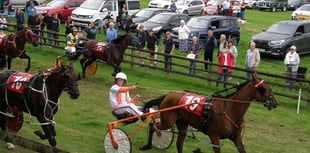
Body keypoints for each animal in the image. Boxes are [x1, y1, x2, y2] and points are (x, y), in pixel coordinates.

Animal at [140, 73, 278, 153]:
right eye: (264, 88)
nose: (275, 103)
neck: (229, 109)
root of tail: (168, 95)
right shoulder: (214, 136)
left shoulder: (237, 138)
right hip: (168, 121)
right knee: (153, 126)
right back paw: (147, 145)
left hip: (182, 123)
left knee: (179, 143)